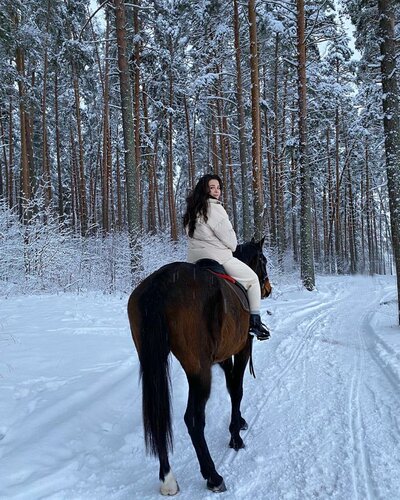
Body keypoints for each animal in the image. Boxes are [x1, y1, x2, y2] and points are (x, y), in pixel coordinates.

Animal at [128, 236, 272, 494]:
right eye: (263, 260)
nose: (267, 288)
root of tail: (160, 284)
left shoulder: (223, 355)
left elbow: (231, 386)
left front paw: (239, 422)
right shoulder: (242, 348)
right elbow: (237, 389)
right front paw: (235, 437)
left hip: (154, 363)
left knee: (159, 418)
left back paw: (167, 479)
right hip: (199, 370)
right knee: (194, 419)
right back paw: (213, 476)